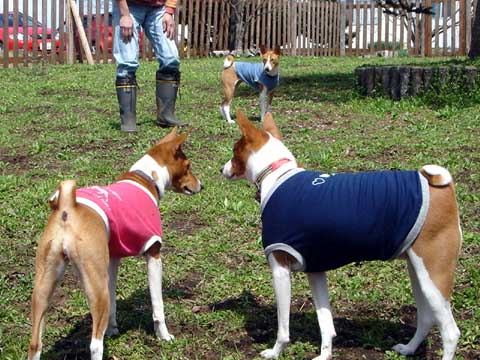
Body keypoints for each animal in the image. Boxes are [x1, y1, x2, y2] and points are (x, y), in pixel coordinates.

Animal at [28, 128, 202, 358]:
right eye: (189, 166)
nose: (202, 185)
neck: (146, 179)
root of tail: (66, 208)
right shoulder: (154, 254)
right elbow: (158, 306)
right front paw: (164, 336)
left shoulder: (112, 259)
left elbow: (113, 303)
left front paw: (111, 329)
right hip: (95, 285)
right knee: (95, 344)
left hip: (45, 286)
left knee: (35, 343)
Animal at [221, 110, 462, 360]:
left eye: (234, 151)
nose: (222, 169)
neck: (277, 175)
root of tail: (436, 184)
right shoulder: (315, 270)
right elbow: (326, 322)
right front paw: (324, 354)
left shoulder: (280, 269)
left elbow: (283, 328)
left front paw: (276, 351)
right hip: (418, 273)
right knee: (425, 318)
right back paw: (409, 348)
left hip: (434, 276)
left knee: (450, 332)